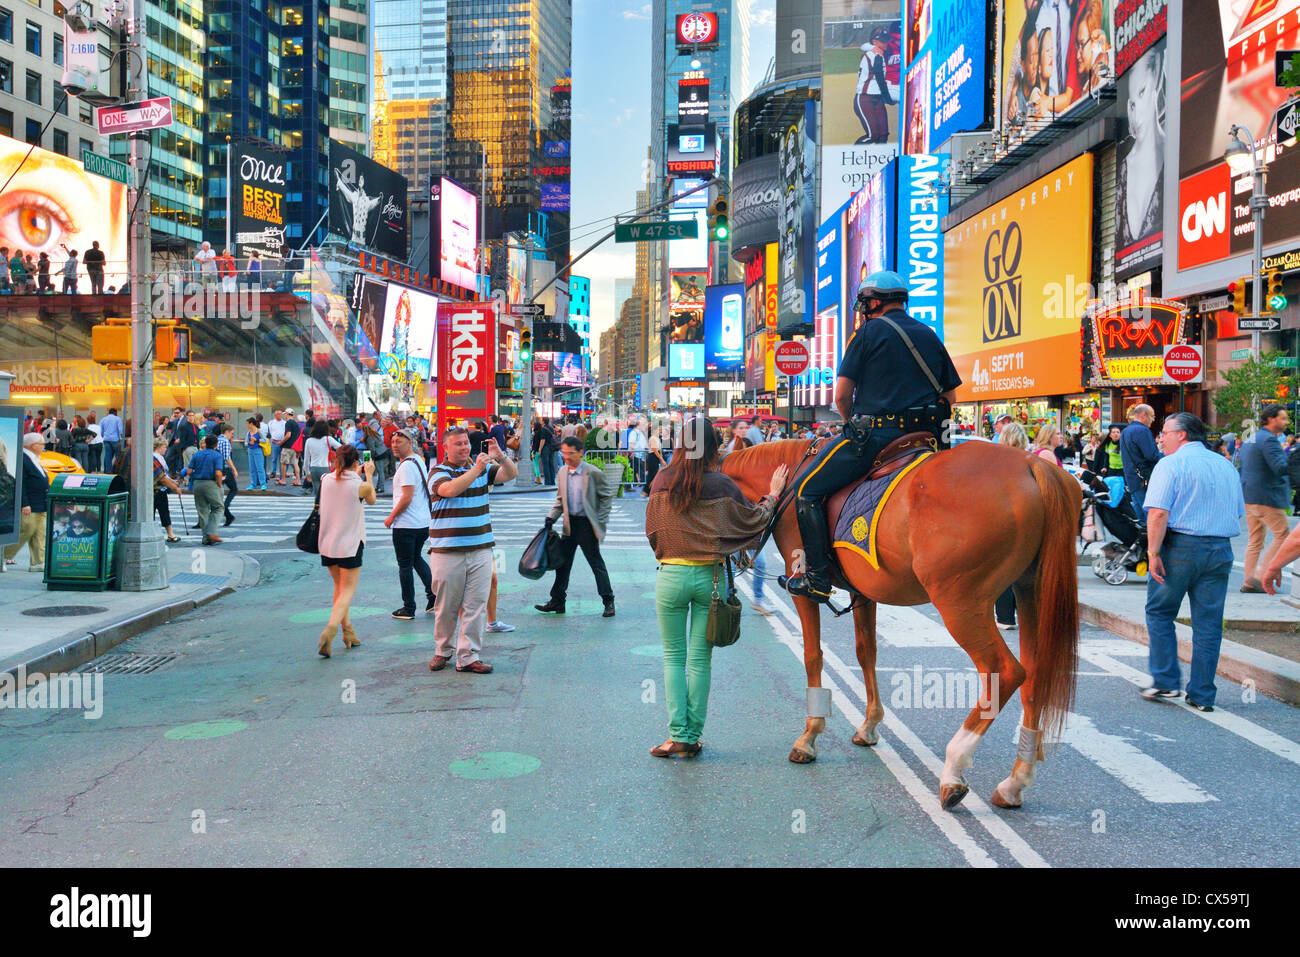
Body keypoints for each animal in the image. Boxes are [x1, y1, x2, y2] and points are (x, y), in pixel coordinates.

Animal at [722, 439, 1076, 806]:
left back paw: (954, 767)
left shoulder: (804, 590)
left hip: (961, 603)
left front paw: (810, 734)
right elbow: (866, 652)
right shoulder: (863, 593)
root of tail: (1033, 465)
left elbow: (812, 655)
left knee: (1004, 672)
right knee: (1034, 676)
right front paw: (869, 725)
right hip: (1029, 591)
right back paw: (1015, 781)